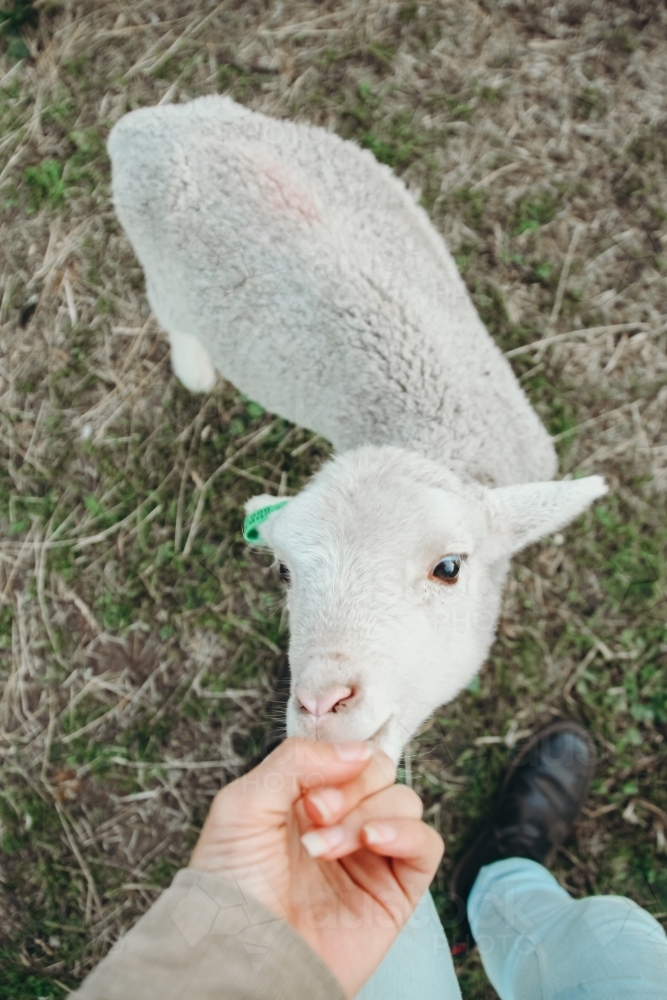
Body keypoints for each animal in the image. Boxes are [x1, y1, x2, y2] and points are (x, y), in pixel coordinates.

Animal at [107, 96, 607, 761]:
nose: (322, 705)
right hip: (157, 265)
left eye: (450, 567)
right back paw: (194, 369)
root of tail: (146, 123)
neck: (429, 430)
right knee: (169, 313)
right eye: (285, 571)